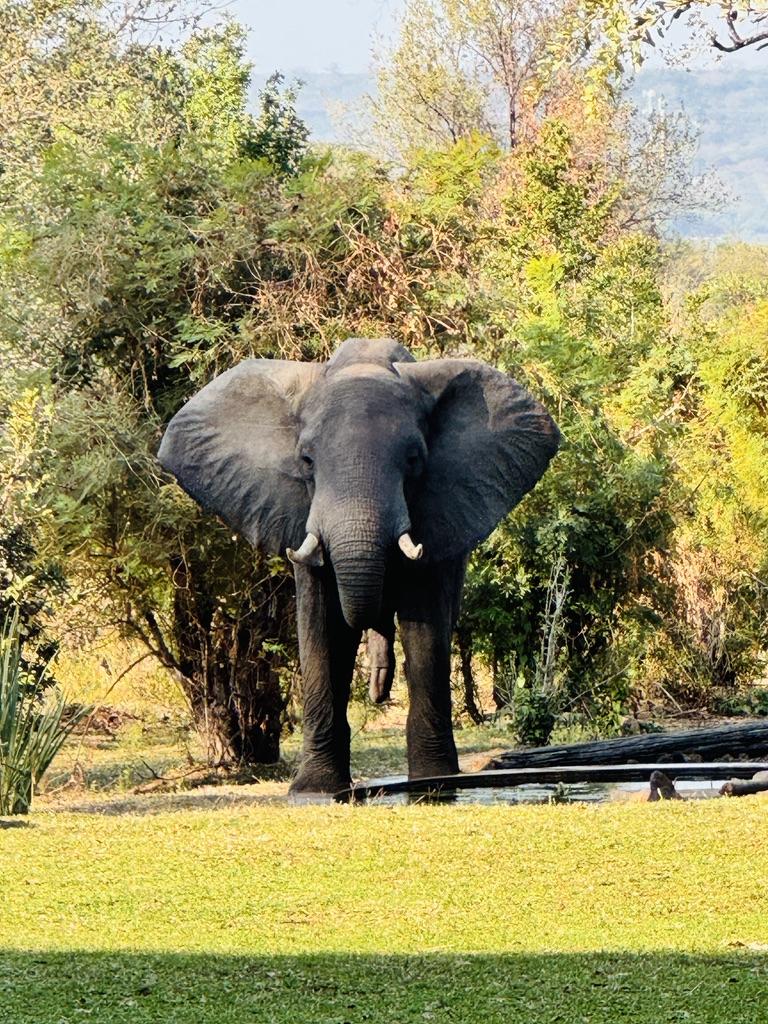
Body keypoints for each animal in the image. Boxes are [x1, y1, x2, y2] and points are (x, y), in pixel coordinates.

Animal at [158, 337, 560, 795]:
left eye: (414, 460)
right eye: (306, 460)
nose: (378, 694)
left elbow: (424, 629)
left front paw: (433, 785)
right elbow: (321, 626)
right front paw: (314, 791)